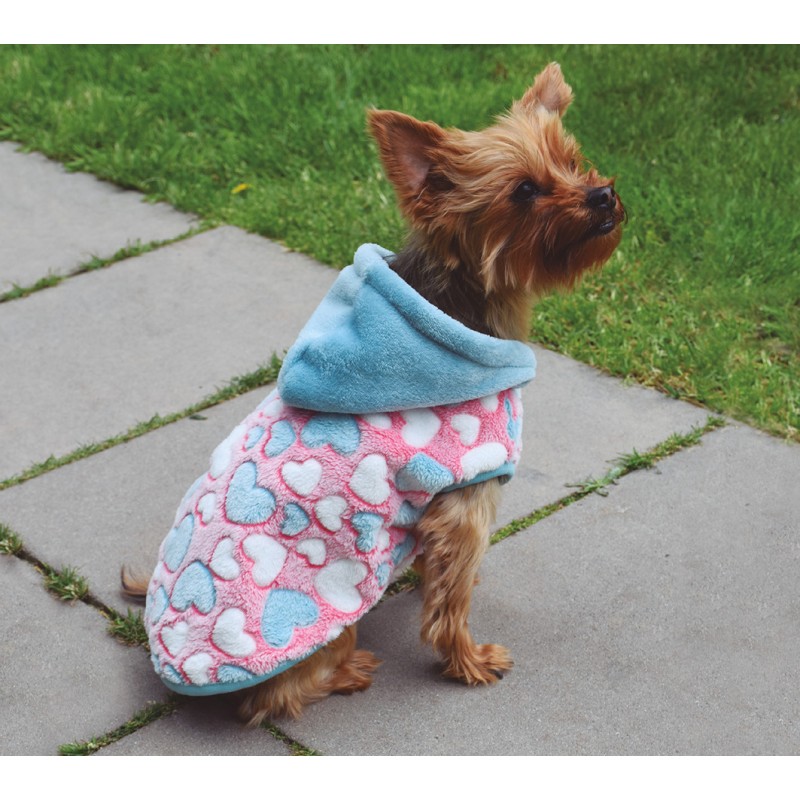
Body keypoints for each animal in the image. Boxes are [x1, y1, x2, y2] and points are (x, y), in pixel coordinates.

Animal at [124, 62, 624, 724]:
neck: (455, 304)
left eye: (573, 160)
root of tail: (166, 662)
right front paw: (468, 662)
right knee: (280, 694)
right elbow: (449, 604)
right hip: (323, 623)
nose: (602, 195)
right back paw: (348, 672)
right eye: (523, 191)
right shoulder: (467, 498)